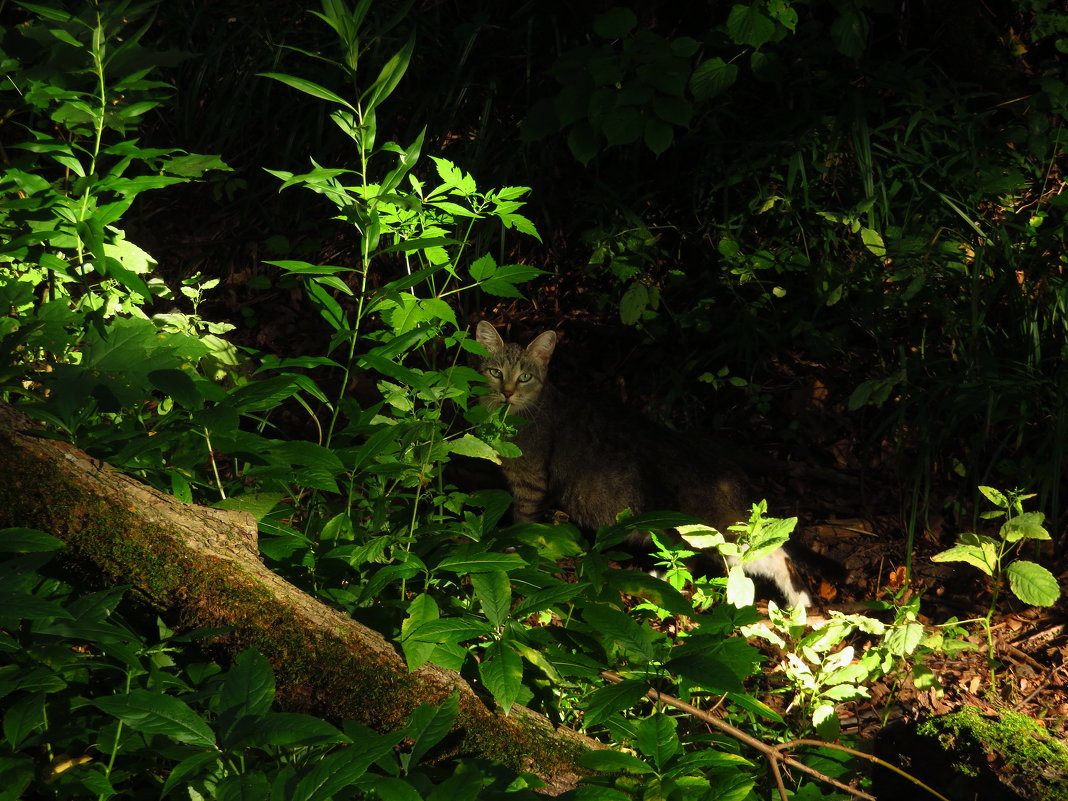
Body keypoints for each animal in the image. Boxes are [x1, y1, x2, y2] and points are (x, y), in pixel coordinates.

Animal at [472, 320, 811, 606]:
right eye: (495, 373)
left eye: (524, 377)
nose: (507, 392)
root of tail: (729, 473)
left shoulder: (530, 483)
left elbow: (522, 522)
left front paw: (510, 550)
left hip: (705, 531)